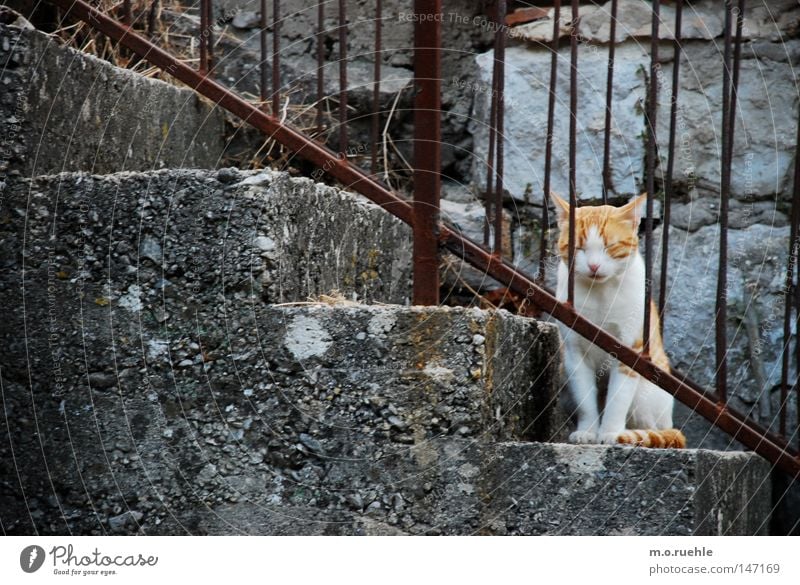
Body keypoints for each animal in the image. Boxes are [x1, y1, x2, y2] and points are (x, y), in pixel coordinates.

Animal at [552, 192, 688, 448]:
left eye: (610, 246)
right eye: (579, 248)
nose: (594, 265)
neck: (600, 293)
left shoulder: (630, 350)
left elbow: (617, 400)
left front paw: (610, 433)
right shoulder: (575, 353)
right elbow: (585, 400)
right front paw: (588, 431)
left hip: (647, 397)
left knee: (654, 428)